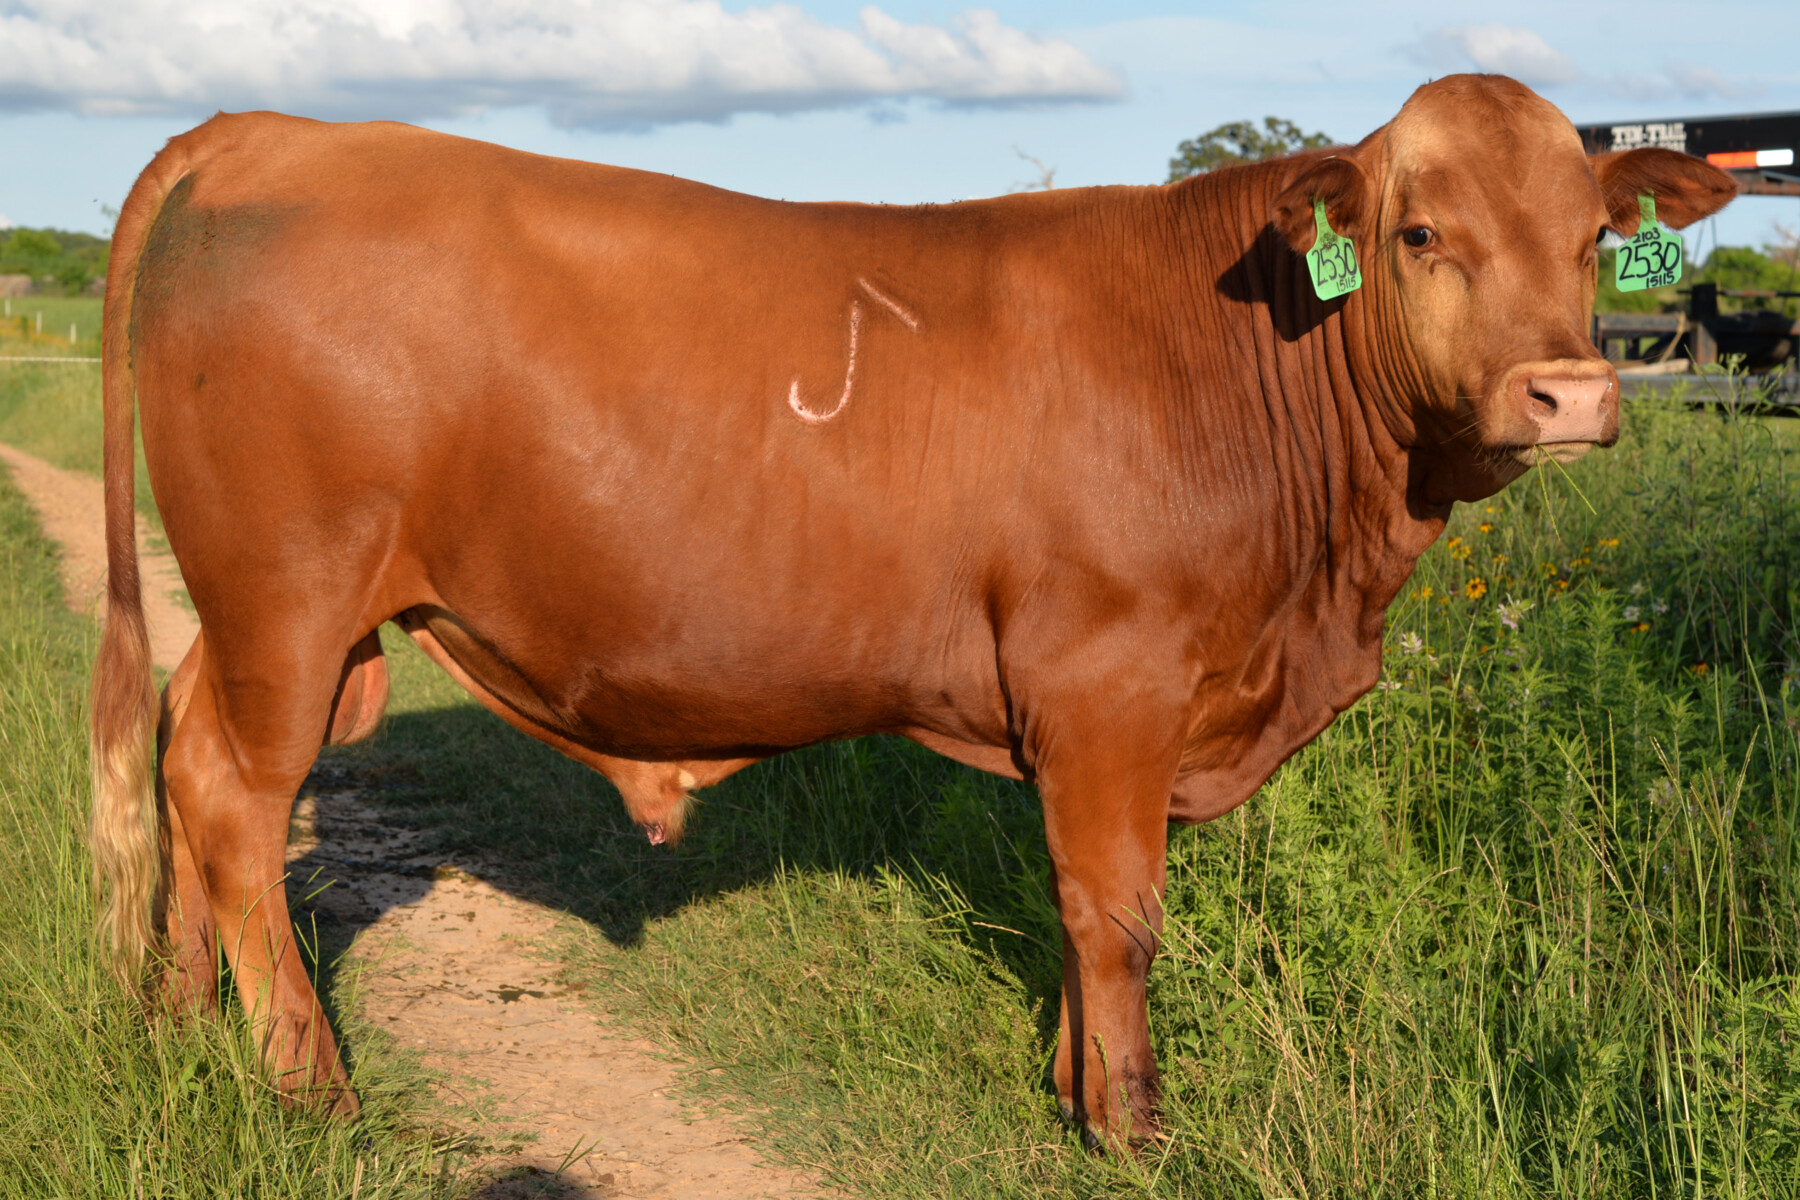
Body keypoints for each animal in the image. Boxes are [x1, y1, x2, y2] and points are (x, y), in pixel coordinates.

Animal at [89, 73, 1735, 1148]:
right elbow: (1117, 911)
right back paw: (308, 1087)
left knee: (177, 756)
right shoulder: (1109, 682)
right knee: (232, 799)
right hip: (290, 602)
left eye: (1594, 239)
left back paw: (177, 1027)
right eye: (1418, 233)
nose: (1570, 392)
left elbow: (1076, 912)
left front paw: (1077, 1095)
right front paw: (1132, 1130)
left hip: (260, 620)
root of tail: (263, 131)